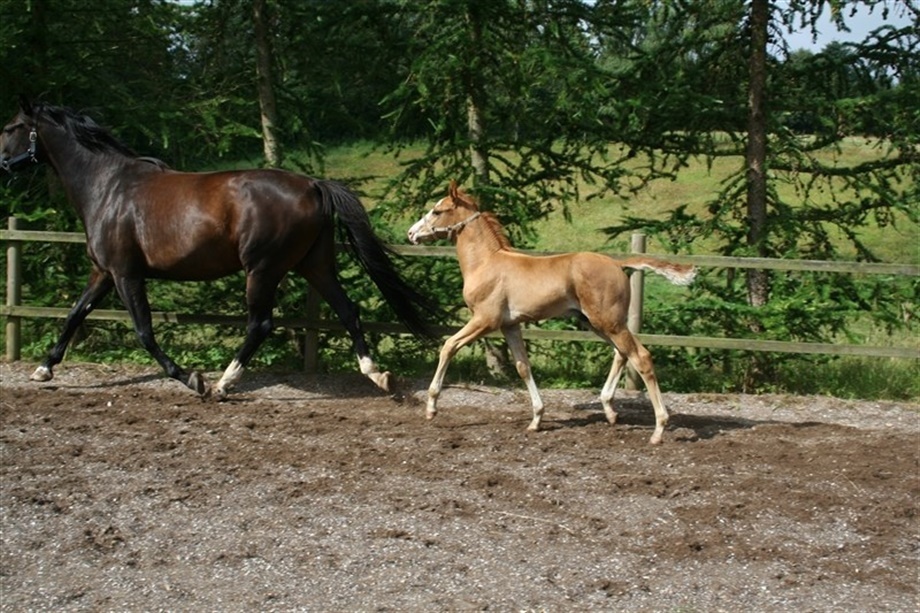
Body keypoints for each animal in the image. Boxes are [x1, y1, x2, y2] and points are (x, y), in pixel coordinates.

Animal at [0, 99, 435, 398]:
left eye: (11, 127)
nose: (2, 163)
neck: (109, 187)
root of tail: (313, 184)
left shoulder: (126, 274)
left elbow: (144, 331)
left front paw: (192, 378)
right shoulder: (103, 273)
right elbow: (75, 314)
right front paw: (44, 369)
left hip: (262, 269)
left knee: (260, 324)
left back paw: (225, 383)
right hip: (316, 265)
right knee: (348, 311)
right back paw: (378, 375)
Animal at [407, 181, 696, 444]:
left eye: (437, 211)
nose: (411, 233)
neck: (486, 263)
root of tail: (617, 262)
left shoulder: (485, 320)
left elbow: (448, 345)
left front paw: (431, 407)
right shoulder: (510, 325)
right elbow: (523, 367)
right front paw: (536, 419)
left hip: (608, 322)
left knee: (641, 356)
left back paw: (658, 430)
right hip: (595, 323)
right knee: (622, 353)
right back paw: (609, 410)